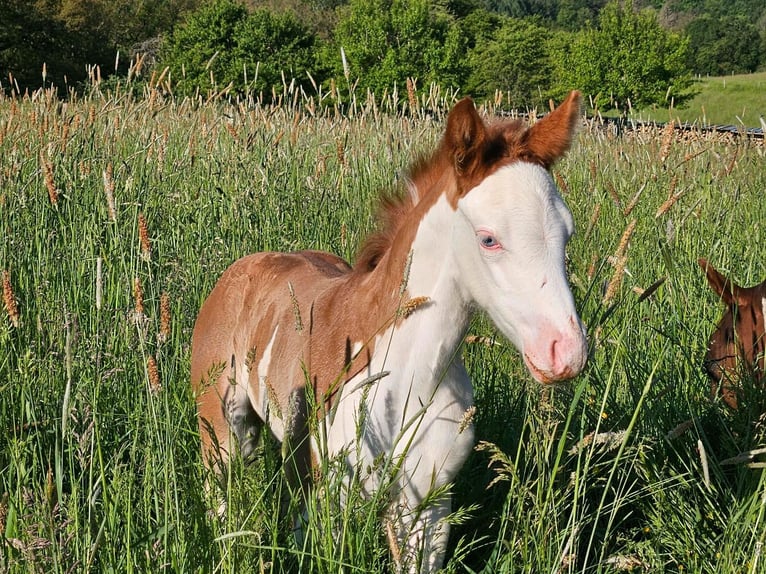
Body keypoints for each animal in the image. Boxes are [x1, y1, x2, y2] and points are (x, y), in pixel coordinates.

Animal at [190, 92, 588, 572]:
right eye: (489, 239)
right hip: (222, 430)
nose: (565, 352)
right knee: (220, 498)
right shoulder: (329, 498)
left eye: (566, 233)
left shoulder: (428, 505)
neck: (407, 376)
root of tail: (241, 269)